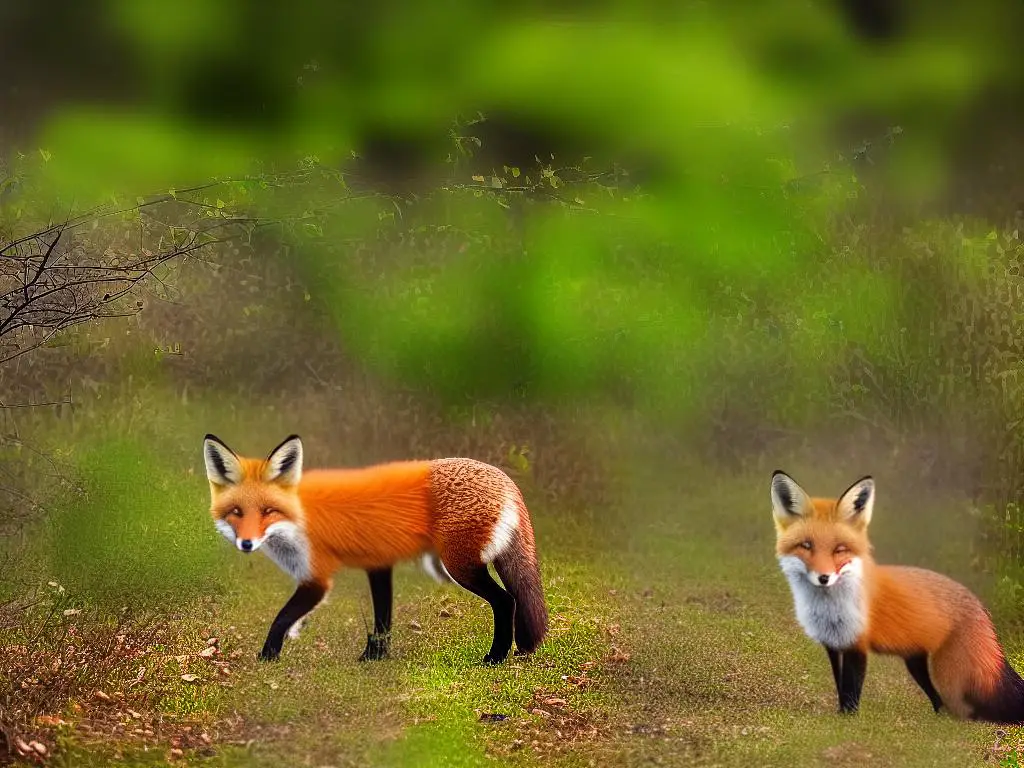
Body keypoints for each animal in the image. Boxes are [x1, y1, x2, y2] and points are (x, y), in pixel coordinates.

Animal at [202, 436, 548, 663]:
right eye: (236, 512)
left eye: (268, 512)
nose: (246, 544)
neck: (298, 518)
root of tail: (503, 477)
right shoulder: (378, 563)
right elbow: (382, 617)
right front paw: (376, 656)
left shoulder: (318, 578)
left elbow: (281, 617)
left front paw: (266, 657)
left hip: (459, 567)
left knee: (506, 601)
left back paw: (496, 657)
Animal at [770, 473, 1024, 724]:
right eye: (806, 545)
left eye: (839, 549)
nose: (824, 578)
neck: (829, 609)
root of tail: (980, 607)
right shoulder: (833, 644)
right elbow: (841, 687)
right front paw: (840, 716)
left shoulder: (857, 645)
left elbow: (851, 690)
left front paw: (849, 721)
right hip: (918, 665)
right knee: (939, 702)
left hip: (951, 677)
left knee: (965, 709)